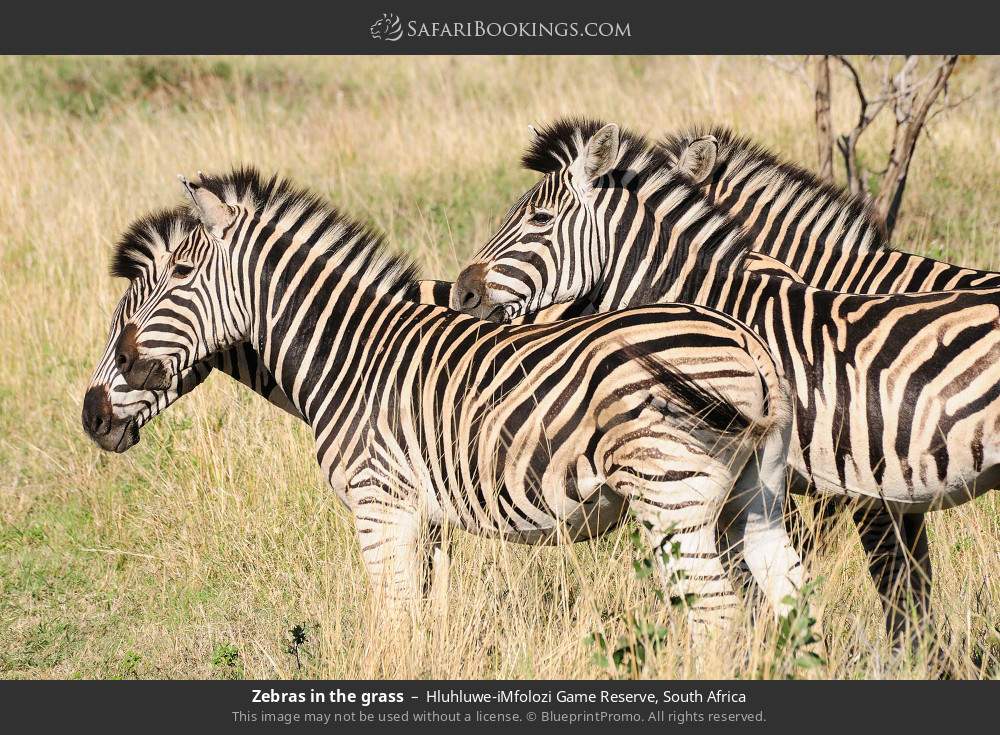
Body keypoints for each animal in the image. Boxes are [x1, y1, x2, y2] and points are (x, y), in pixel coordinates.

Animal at [99, 166, 805, 638]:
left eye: (180, 276)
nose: (93, 416)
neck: (351, 354)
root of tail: (749, 346)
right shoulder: (428, 516)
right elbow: (428, 616)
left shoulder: (379, 504)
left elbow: (393, 620)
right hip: (756, 502)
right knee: (789, 601)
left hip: (672, 502)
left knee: (719, 617)